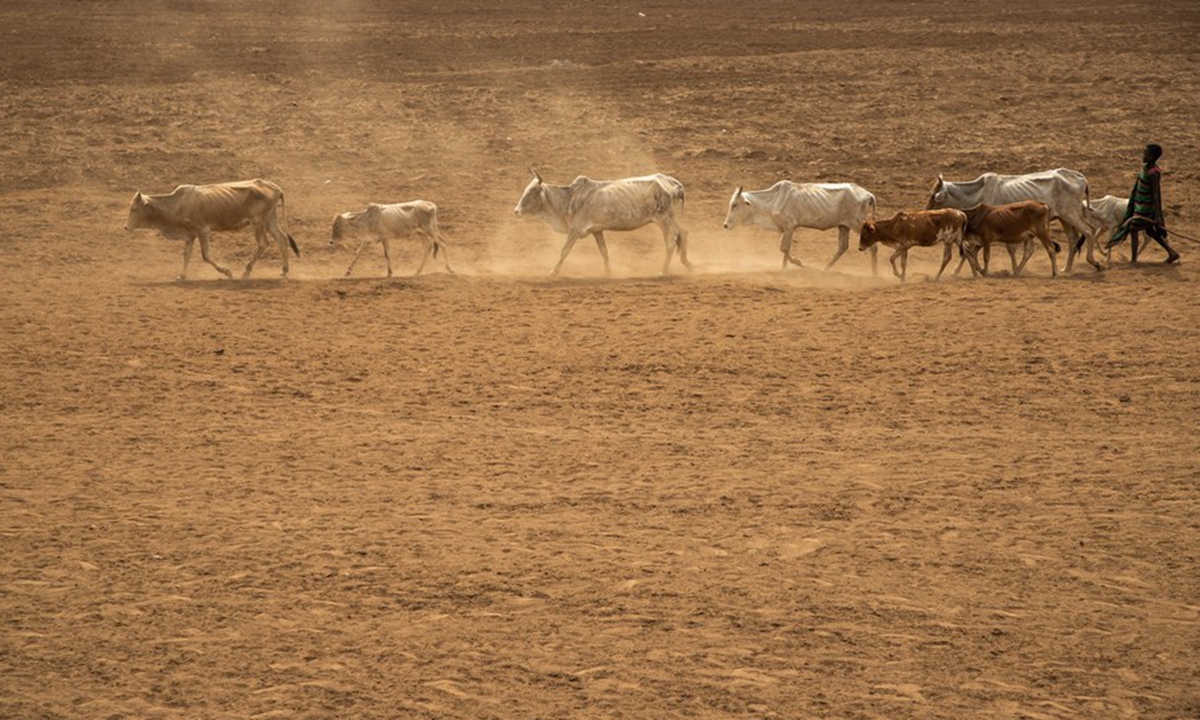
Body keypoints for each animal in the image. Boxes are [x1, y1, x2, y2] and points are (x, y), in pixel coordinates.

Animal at [124, 179, 299, 280]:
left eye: (134, 209)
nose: (126, 227)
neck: (177, 204)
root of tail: (275, 187)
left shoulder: (203, 231)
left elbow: (206, 256)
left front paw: (227, 272)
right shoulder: (190, 235)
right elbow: (186, 255)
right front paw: (181, 275)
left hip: (258, 222)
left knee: (263, 243)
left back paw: (247, 271)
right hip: (270, 219)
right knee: (281, 239)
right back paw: (284, 270)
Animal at [513, 170, 690, 276]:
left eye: (532, 192)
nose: (516, 210)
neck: (569, 199)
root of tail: (671, 181)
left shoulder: (574, 231)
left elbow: (564, 251)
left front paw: (553, 272)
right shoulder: (597, 230)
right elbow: (604, 251)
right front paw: (608, 272)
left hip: (664, 219)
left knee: (671, 241)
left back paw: (664, 271)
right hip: (669, 218)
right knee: (683, 233)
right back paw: (687, 263)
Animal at [722, 181, 878, 273]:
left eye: (734, 205)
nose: (725, 225)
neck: (773, 200)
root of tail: (869, 194)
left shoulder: (789, 227)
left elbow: (784, 248)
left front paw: (797, 263)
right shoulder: (786, 229)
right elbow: (785, 248)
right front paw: (785, 266)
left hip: (857, 223)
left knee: (873, 247)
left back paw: (874, 274)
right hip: (843, 226)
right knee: (842, 247)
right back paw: (825, 270)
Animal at [926, 168, 1102, 272]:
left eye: (933, 196)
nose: (926, 211)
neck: (976, 193)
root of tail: (1080, 178)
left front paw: (955, 271)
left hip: (1071, 214)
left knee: (1089, 231)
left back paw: (1094, 262)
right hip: (1064, 218)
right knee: (1073, 239)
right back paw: (1066, 268)